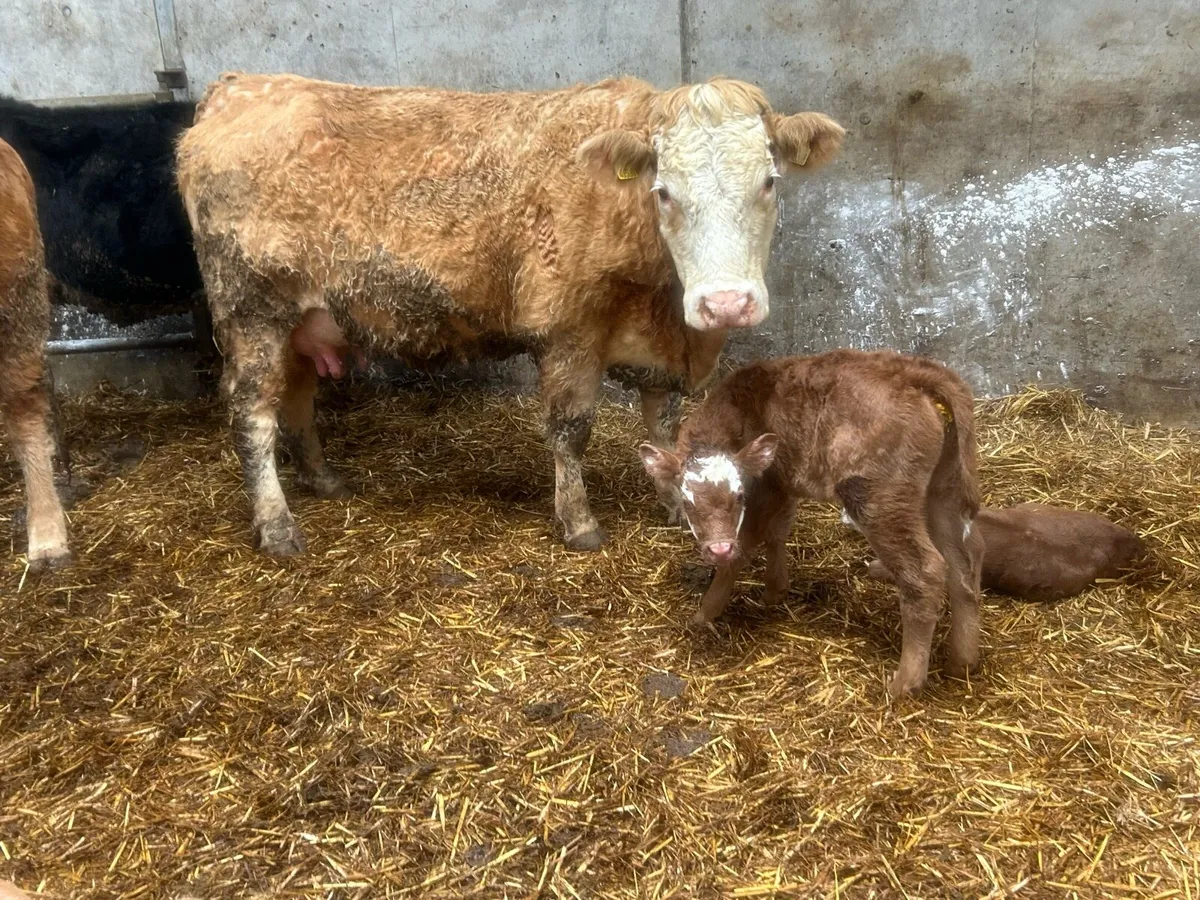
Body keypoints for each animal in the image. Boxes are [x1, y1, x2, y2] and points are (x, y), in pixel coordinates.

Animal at [175, 73, 844, 555]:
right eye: (664, 192)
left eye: (769, 182)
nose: (725, 302)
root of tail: (240, 86)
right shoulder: (571, 331)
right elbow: (572, 431)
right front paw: (579, 523)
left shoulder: (659, 349)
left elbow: (665, 428)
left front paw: (680, 506)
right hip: (251, 309)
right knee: (252, 414)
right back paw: (277, 527)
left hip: (302, 320)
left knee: (294, 399)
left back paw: (323, 480)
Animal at [639, 350, 982, 699]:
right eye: (688, 503)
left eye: (738, 496)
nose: (718, 548)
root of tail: (911, 373)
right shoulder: (785, 485)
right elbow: (777, 533)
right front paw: (774, 590)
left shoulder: (766, 487)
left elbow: (747, 544)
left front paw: (705, 612)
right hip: (943, 489)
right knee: (963, 564)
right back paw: (962, 662)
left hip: (878, 498)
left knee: (924, 572)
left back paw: (905, 683)